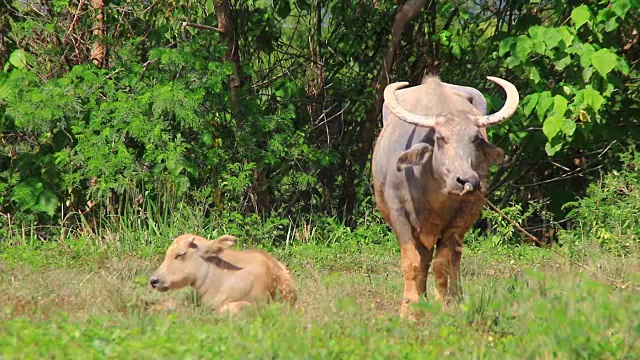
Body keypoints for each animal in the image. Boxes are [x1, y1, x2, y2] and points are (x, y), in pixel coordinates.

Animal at [372, 76, 516, 318]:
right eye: (441, 138)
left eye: (475, 138)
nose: (466, 179)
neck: (435, 193)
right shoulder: (399, 214)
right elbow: (411, 262)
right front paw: (409, 309)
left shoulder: (460, 219)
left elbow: (443, 263)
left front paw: (445, 305)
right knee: (423, 259)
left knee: (453, 259)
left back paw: (456, 297)